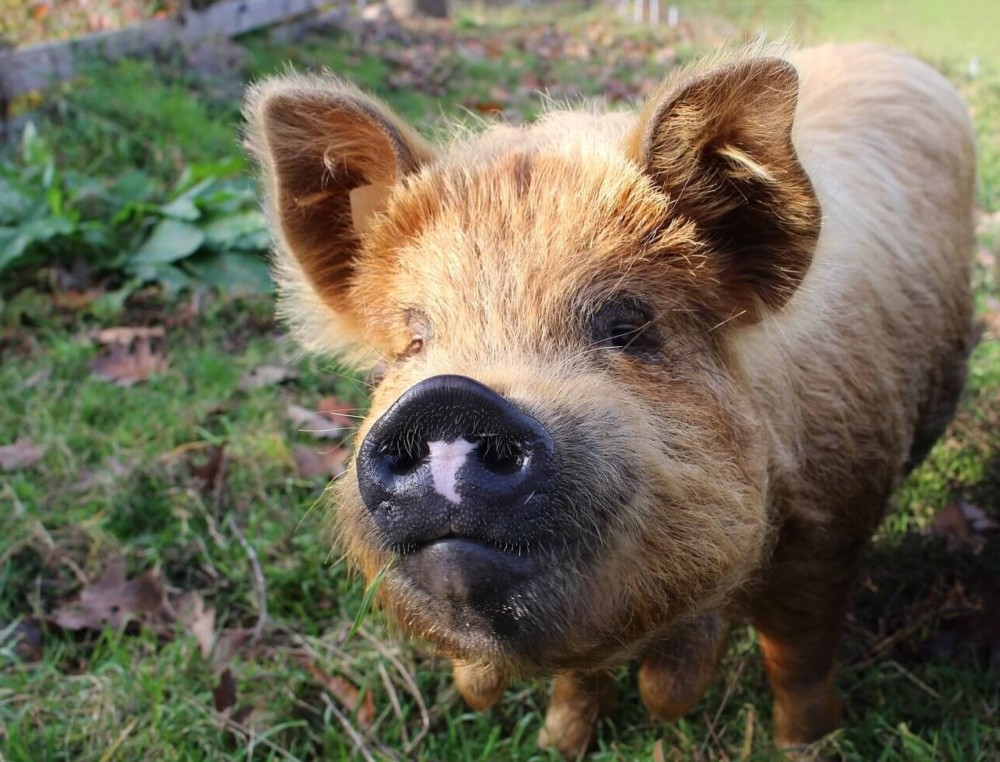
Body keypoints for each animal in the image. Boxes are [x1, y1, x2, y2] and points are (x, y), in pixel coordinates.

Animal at [246, 44, 972, 756]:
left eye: (627, 325)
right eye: (411, 343)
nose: (447, 398)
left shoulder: (835, 521)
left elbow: (797, 657)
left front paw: (808, 747)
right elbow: (579, 678)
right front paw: (556, 744)